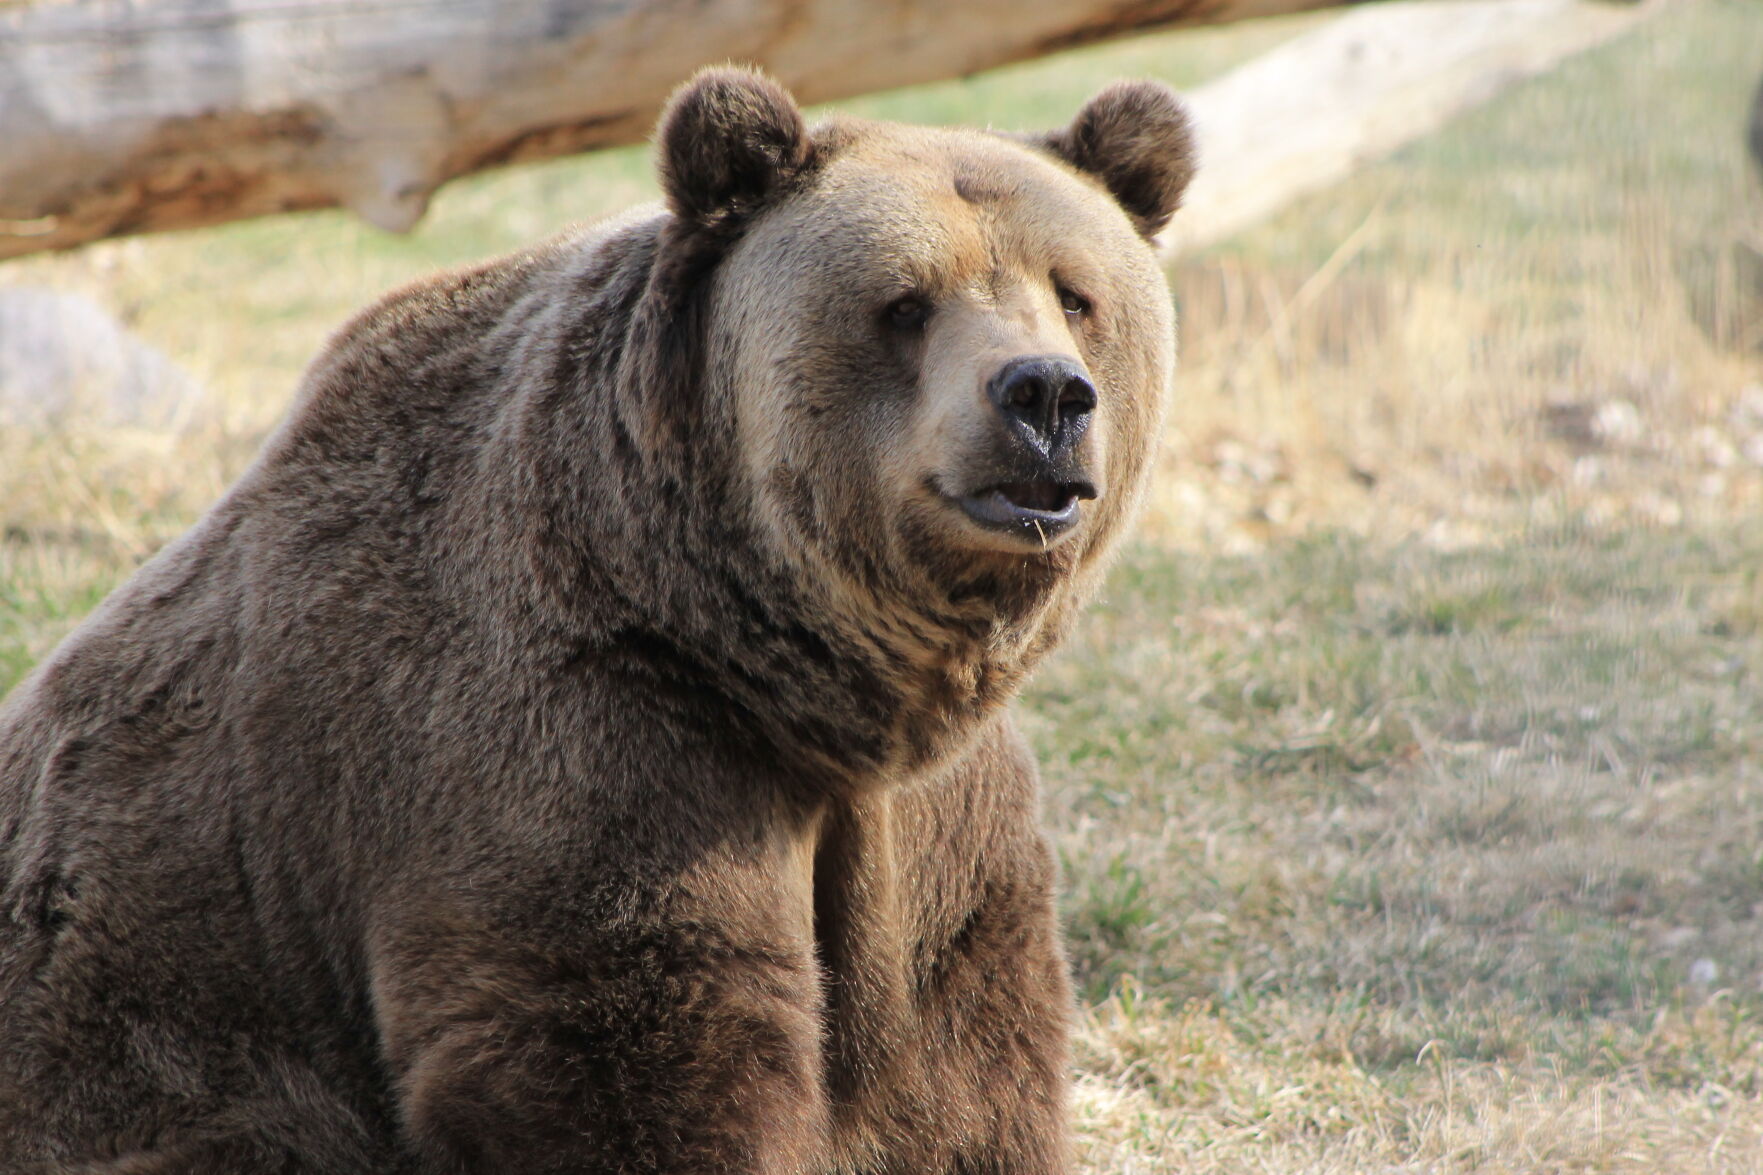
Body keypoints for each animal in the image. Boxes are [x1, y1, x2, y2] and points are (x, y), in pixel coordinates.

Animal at [0, 68, 1198, 1164]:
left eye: (1074, 292)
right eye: (904, 302)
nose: (1042, 395)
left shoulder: (937, 835)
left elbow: (957, 1074)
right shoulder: (574, 743)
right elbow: (627, 1048)